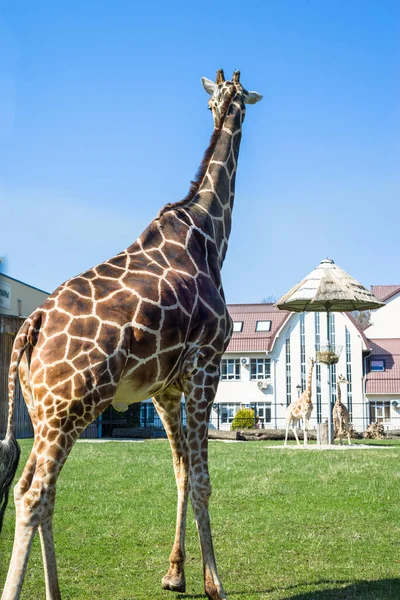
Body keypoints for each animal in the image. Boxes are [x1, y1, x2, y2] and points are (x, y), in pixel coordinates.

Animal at [0, 70, 262, 600]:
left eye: (220, 100)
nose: (227, 108)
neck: (209, 237)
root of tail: (29, 327)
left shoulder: (164, 388)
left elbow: (180, 473)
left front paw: (175, 573)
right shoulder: (206, 365)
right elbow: (202, 479)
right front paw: (215, 584)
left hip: (42, 411)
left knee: (34, 490)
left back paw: (55, 592)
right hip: (71, 407)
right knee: (34, 494)